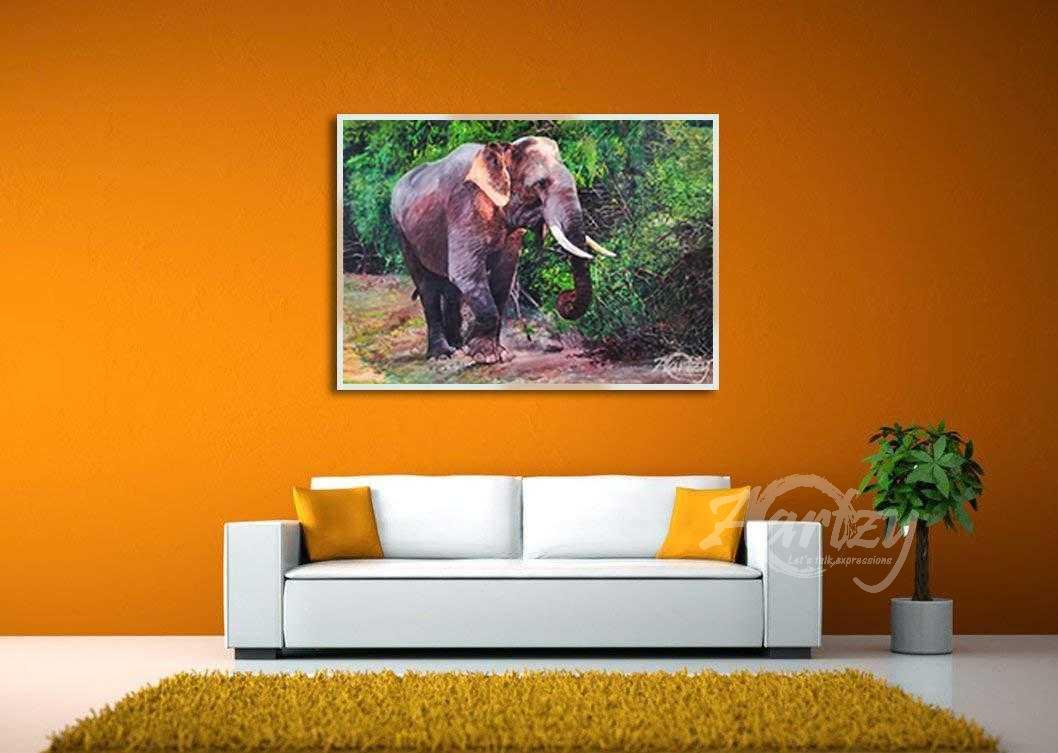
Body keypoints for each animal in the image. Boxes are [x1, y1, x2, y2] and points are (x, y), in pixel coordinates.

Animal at [390, 137, 614, 362]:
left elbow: (503, 274)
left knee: (450, 289)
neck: (502, 152)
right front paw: (483, 355)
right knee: (428, 288)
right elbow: (465, 273)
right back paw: (442, 354)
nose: (564, 299)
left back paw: (457, 346)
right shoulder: (464, 206)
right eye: (540, 184)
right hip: (402, 232)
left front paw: (498, 353)